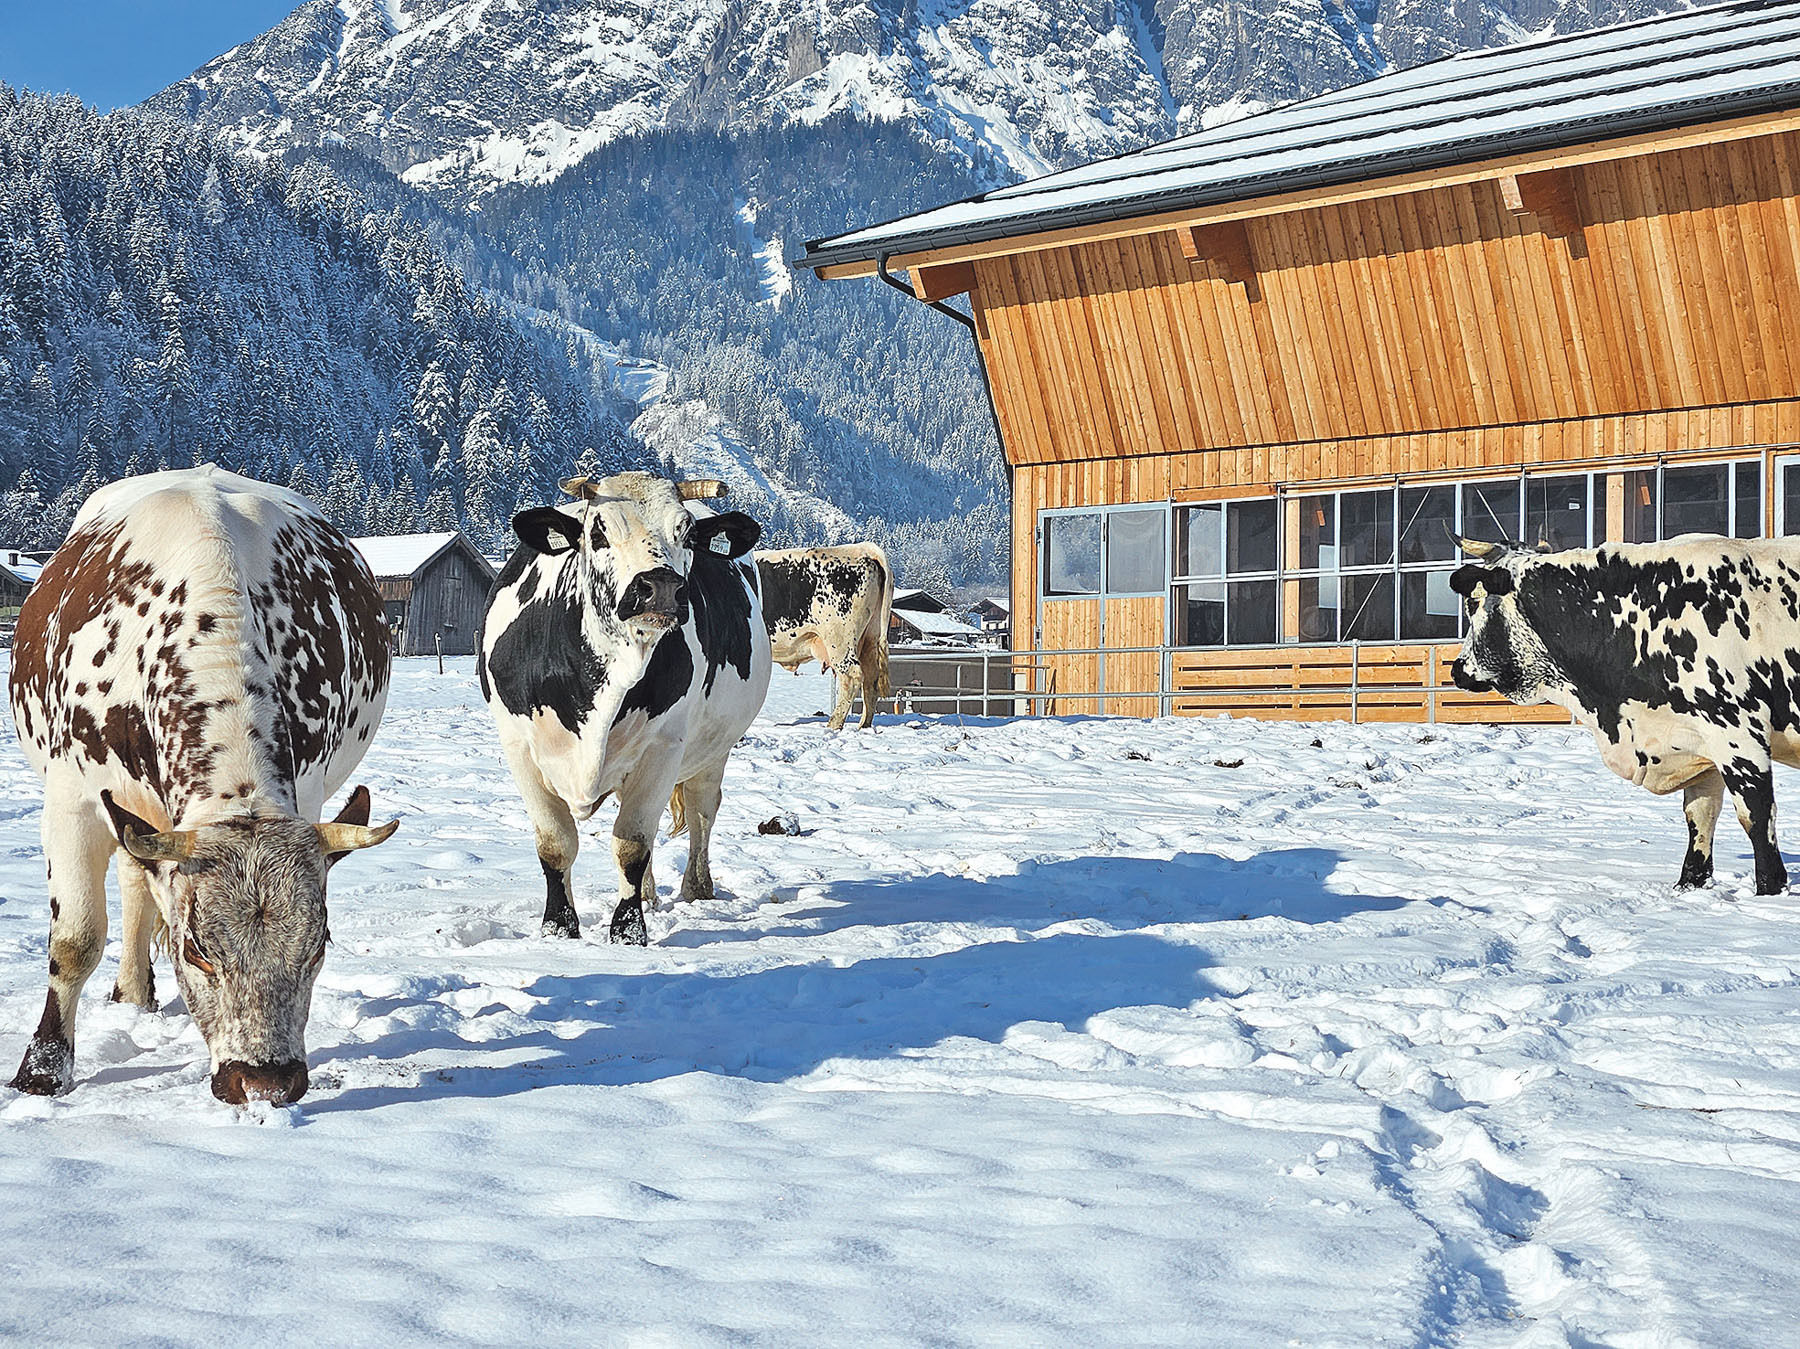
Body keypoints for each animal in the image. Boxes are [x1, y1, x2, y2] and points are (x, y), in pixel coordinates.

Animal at [6, 468, 401, 1102]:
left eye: (319, 944)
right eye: (197, 951)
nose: (264, 1080)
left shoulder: (309, 791)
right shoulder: (73, 802)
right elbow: (75, 940)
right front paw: (42, 1070)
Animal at [475, 468, 770, 943]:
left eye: (687, 533)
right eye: (598, 532)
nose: (661, 586)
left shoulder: (663, 748)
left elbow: (632, 842)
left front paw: (628, 932)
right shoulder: (519, 746)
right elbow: (555, 843)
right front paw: (559, 927)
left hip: (715, 748)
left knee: (702, 810)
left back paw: (696, 888)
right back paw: (648, 894)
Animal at [752, 540, 892, 727]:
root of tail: (861, 549)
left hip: (839, 639)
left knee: (852, 676)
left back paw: (833, 725)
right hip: (870, 637)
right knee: (871, 681)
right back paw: (863, 725)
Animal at [1447, 529, 1800, 893]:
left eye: (1472, 603)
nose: (1457, 670)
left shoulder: (1737, 732)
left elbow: (1755, 816)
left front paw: (1771, 890)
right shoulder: (1697, 742)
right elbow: (1700, 815)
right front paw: (1689, 885)